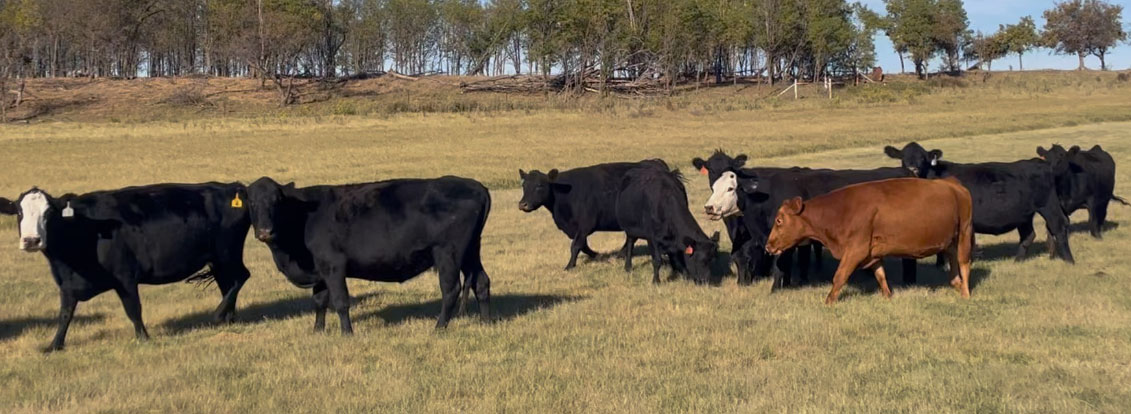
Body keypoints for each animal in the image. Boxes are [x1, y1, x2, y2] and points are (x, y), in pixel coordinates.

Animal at [0, 183, 252, 351]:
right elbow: (65, 314)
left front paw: (143, 338)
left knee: (241, 277)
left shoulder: (125, 278)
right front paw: (54, 345)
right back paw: (229, 318)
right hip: (218, 260)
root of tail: (232, 187)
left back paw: (218, 314)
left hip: (228, 254)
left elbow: (133, 310)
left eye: (49, 212)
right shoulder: (67, 284)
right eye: (19, 212)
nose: (31, 241)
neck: (84, 229)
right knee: (228, 284)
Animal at [246, 176, 492, 335]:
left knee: (451, 290)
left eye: (277, 201)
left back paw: (438, 328)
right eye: (251, 202)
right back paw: (485, 323)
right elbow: (319, 301)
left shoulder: (333, 265)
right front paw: (318, 331)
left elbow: (340, 301)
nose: (265, 231)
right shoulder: (320, 269)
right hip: (471, 252)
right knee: (481, 282)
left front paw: (347, 333)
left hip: (448, 253)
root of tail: (477, 186)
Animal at [518, 160, 666, 270]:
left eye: (539, 185)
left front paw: (569, 266)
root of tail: (654, 162)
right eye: (523, 186)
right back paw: (619, 254)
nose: (522, 204)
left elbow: (576, 245)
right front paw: (598, 255)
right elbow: (583, 245)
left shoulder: (585, 225)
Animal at [765, 177, 974, 304]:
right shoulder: (872, 253)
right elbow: (880, 275)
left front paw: (828, 301)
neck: (839, 211)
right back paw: (956, 283)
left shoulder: (855, 250)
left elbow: (839, 276)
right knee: (953, 260)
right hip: (949, 241)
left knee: (964, 263)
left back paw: (965, 292)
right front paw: (888, 296)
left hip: (964, 232)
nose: (768, 246)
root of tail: (952, 183)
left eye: (779, 220)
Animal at [885, 142, 1075, 263]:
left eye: (923, 158)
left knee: (1059, 227)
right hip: (1024, 214)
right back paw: (1017, 261)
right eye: (903, 158)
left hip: (1048, 206)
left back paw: (1068, 260)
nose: (912, 169)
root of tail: (1040, 162)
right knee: (1028, 236)